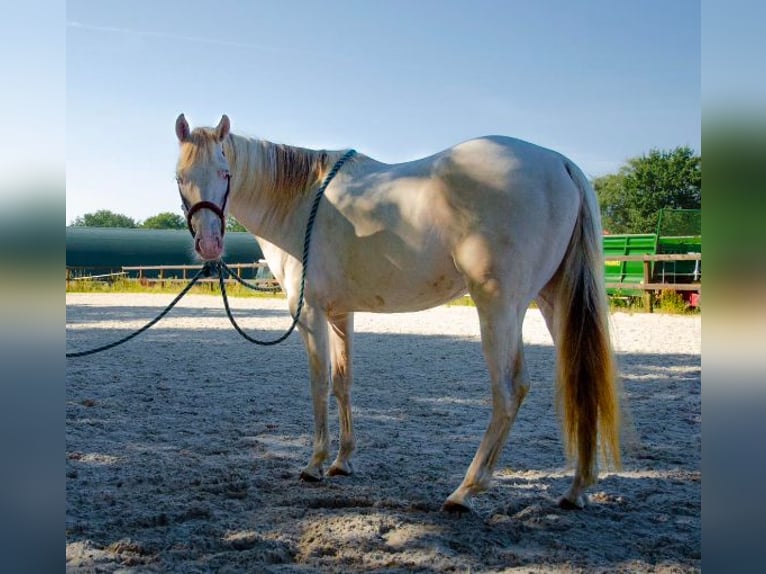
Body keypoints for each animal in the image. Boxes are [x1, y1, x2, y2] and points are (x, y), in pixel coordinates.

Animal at [176, 112, 624, 512]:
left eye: (225, 172)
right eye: (181, 178)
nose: (210, 246)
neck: (300, 203)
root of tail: (560, 163)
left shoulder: (311, 313)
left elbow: (319, 384)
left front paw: (314, 464)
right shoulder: (341, 315)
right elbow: (342, 383)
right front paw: (342, 461)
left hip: (499, 306)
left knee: (509, 390)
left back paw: (465, 491)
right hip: (551, 301)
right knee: (578, 376)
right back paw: (576, 489)